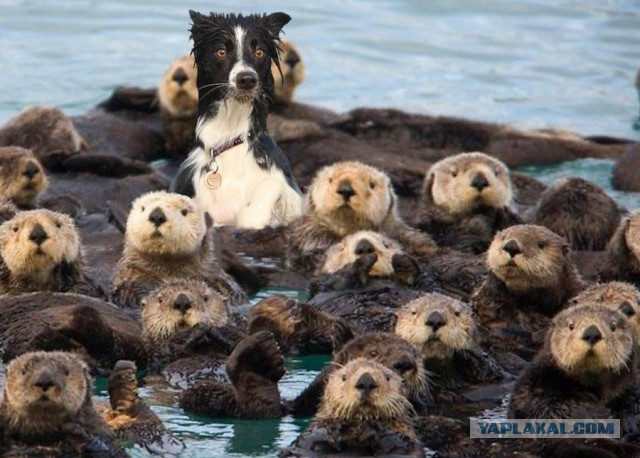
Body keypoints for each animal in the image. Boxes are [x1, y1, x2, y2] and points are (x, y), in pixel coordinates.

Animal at [280, 358, 424, 458]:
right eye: (344, 377)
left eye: (387, 377)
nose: (366, 380)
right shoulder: (308, 439)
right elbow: (312, 437)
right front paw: (338, 429)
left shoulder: (406, 441)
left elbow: (400, 442)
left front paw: (372, 428)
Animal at [508, 306, 636, 438]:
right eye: (571, 325)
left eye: (613, 326)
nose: (592, 333)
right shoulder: (534, 387)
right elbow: (549, 411)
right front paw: (595, 416)